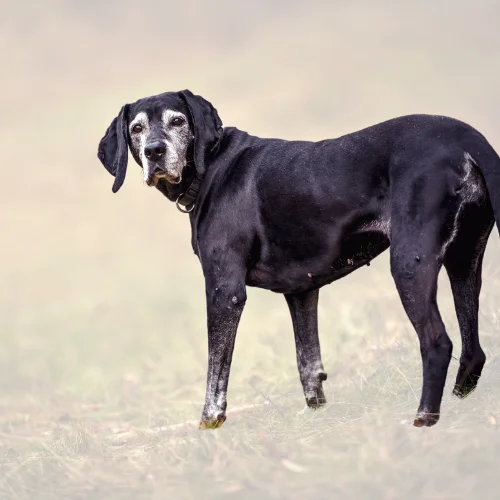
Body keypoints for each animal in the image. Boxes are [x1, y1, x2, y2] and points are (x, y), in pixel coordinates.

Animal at [97, 90, 500, 426]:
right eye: (136, 128)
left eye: (178, 121)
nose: (154, 151)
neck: (211, 167)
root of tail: (465, 137)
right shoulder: (301, 293)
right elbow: (309, 363)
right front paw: (315, 415)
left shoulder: (225, 292)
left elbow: (216, 372)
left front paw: (208, 425)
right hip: (464, 261)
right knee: (473, 349)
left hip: (409, 263)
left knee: (438, 343)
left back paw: (424, 418)